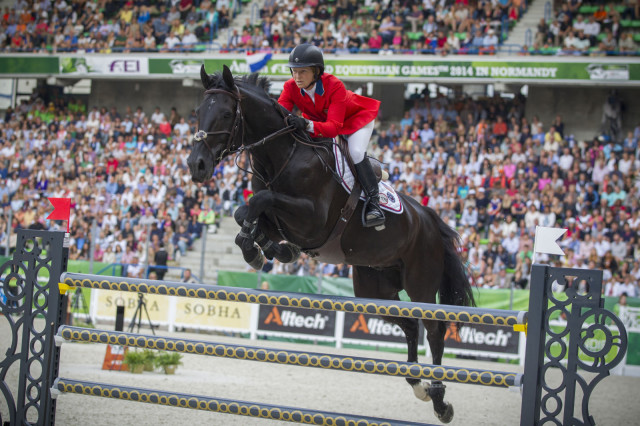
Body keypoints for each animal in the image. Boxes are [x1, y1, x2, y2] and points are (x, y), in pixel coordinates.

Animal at [188, 65, 472, 422]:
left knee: (434, 330)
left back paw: (439, 399)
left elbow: (259, 201)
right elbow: (246, 213)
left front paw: (261, 249)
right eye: (198, 111)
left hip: (420, 282)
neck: (283, 155)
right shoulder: (279, 220)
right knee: (409, 326)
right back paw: (417, 383)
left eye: (227, 113)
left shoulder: (312, 221)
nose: (196, 166)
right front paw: (264, 249)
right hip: (374, 287)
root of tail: (430, 218)